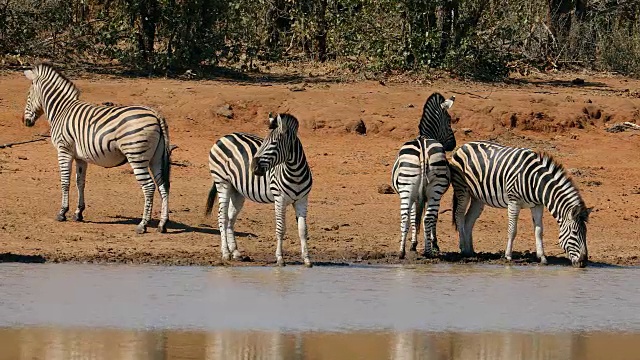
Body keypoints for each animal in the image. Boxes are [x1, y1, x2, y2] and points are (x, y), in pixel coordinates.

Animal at [21, 63, 170, 233]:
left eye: (28, 95)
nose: (25, 121)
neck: (62, 109)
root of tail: (155, 113)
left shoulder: (64, 150)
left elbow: (65, 182)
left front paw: (62, 212)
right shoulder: (80, 157)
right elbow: (80, 182)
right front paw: (78, 213)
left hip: (136, 155)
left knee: (149, 187)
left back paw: (143, 224)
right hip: (156, 158)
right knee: (163, 186)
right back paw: (162, 224)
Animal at [206, 112, 314, 268]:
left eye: (273, 144)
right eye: (263, 143)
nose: (253, 167)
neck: (295, 173)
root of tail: (224, 136)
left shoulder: (302, 200)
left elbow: (303, 230)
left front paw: (307, 259)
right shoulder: (279, 199)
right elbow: (280, 228)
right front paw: (280, 258)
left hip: (237, 190)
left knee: (230, 218)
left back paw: (235, 252)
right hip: (222, 183)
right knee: (222, 217)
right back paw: (225, 253)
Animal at [390, 91, 456, 258]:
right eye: (449, 121)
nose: (452, 145)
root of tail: (423, 148)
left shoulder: (416, 194)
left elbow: (414, 217)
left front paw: (413, 244)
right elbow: (427, 218)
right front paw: (432, 244)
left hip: (408, 188)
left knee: (405, 217)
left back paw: (401, 251)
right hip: (433, 191)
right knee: (427, 218)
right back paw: (427, 251)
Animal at [448, 141, 592, 268]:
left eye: (586, 232)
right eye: (574, 233)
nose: (584, 262)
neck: (536, 181)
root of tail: (464, 145)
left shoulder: (537, 205)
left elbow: (539, 231)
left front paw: (542, 257)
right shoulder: (514, 202)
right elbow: (512, 230)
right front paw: (508, 256)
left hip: (478, 198)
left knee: (468, 220)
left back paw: (470, 251)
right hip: (462, 189)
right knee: (459, 215)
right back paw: (463, 248)